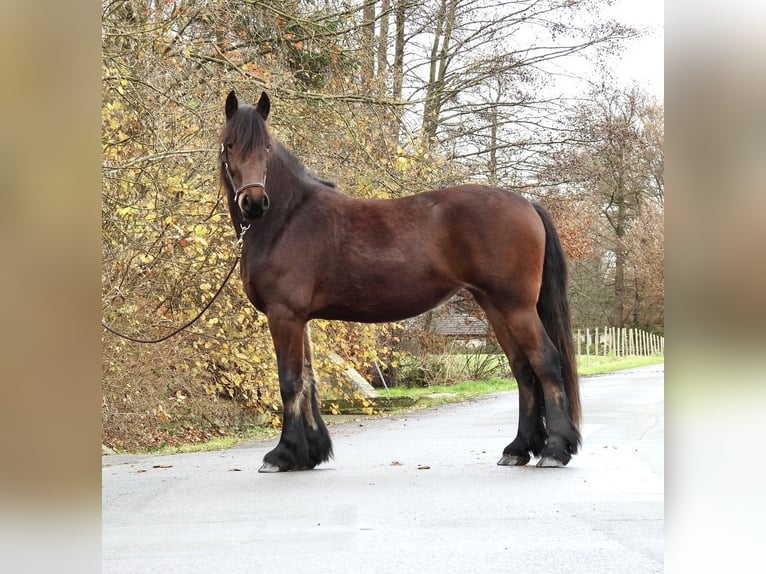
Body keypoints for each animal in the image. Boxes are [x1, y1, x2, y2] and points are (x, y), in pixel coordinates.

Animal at [218, 91, 584, 472]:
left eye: (266, 147)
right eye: (229, 145)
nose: (254, 203)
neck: (287, 219)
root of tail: (526, 203)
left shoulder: (284, 314)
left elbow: (289, 382)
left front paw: (282, 454)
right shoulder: (297, 318)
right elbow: (307, 381)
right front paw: (309, 453)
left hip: (517, 307)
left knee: (546, 362)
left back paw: (555, 450)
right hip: (495, 306)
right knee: (523, 369)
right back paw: (517, 449)